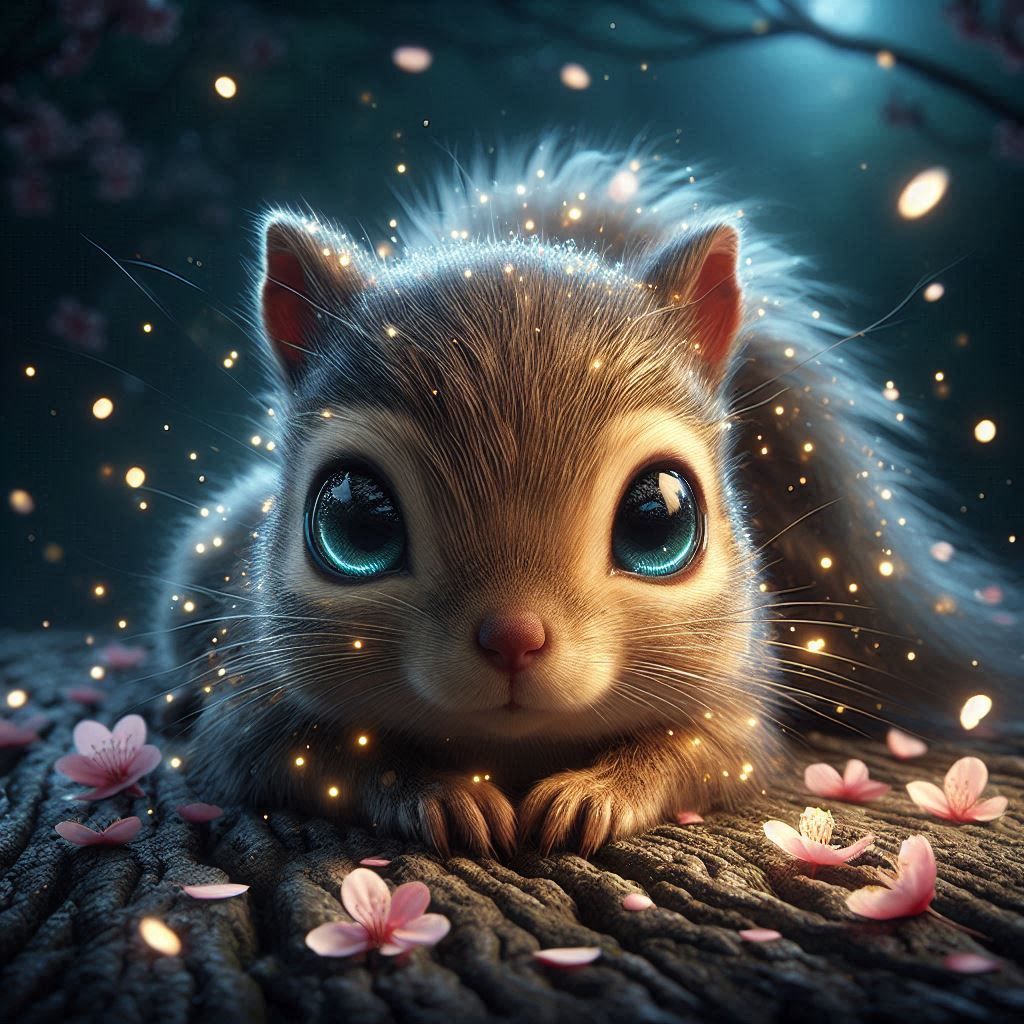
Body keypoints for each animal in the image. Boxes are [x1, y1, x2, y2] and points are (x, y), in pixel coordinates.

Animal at [152, 140, 1021, 857]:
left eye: (658, 522)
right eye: (354, 522)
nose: (513, 635)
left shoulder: (739, 703)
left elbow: (707, 755)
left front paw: (595, 793)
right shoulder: (252, 700)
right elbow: (301, 757)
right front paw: (439, 793)